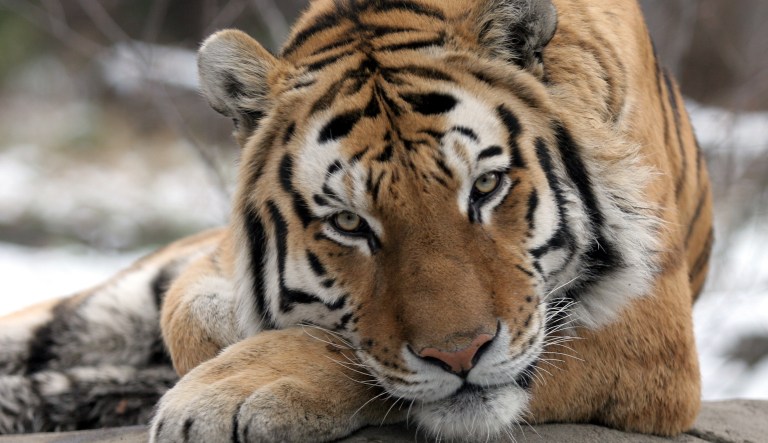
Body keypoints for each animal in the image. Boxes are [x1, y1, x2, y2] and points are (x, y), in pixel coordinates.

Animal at [0, 0, 714, 440]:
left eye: (485, 186)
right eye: (348, 223)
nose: (460, 354)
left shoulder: (649, 333)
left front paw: (226, 390)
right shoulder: (204, 268)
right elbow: (197, 316)